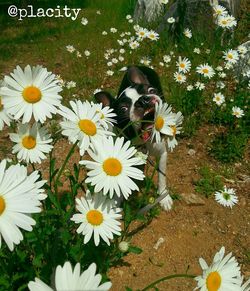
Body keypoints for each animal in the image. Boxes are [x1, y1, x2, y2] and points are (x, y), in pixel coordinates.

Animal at [94, 66, 173, 211]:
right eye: (123, 109)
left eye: (151, 91)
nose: (143, 100)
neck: (144, 142)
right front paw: (116, 202)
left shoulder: (162, 154)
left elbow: (162, 177)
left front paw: (164, 197)